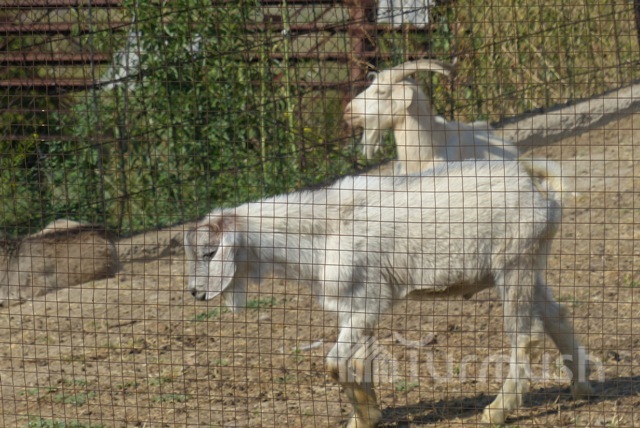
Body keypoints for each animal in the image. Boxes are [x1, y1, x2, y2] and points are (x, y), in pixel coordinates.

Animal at [184, 159, 592, 427]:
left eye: (209, 253)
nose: (194, 293)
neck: (322, 232)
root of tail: (539, 190)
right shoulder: (353, 307)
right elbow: (357, 363)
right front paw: (365, 416)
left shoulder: (369, 300)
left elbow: (334, 363)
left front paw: (366, 412)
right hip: (528, 264)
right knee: (557, 317)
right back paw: (582, 387)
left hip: (514, 263)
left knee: (527, 336)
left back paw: (496, 411)